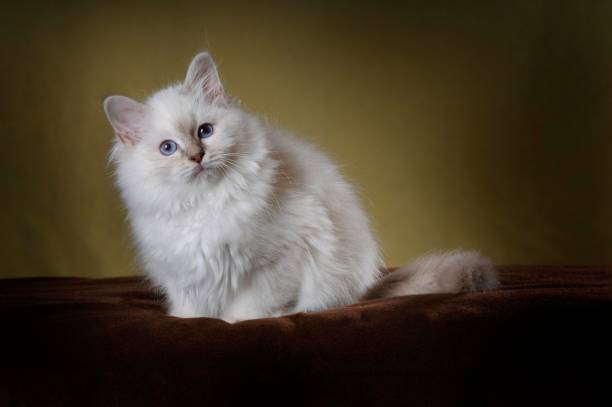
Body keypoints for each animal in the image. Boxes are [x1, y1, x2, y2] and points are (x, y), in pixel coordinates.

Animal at [104, 53, 498, 322]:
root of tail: (367, 287)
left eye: (205, 131)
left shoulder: (273, 262)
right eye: (168, 148)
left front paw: (235, 322)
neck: (206, 202)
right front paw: (194, 323)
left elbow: (248, 310)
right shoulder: (183, 274)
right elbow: (190, 313)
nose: (197, 157)